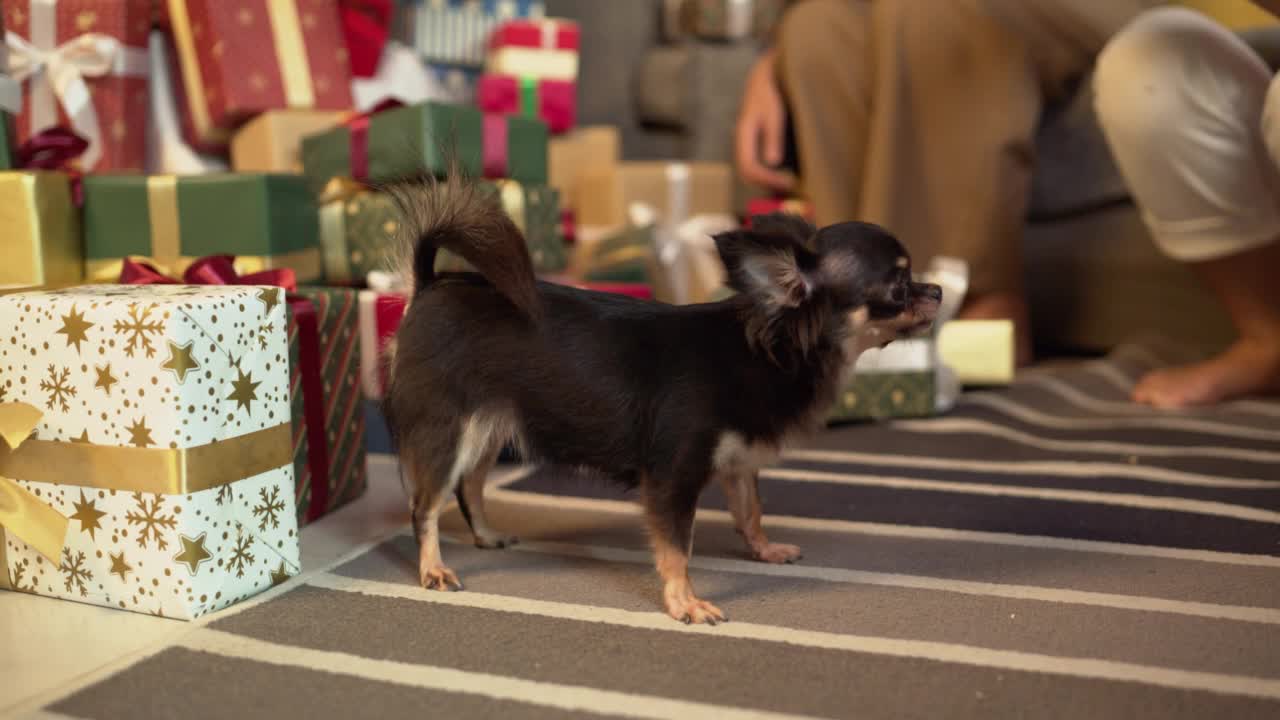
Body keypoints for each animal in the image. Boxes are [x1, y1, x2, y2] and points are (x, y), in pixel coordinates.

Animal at [378, 172, 942, 622]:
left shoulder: (738, 463)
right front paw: (684, 602)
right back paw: (433, 569)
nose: (936, 290)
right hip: (449, 429)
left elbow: (751, 512)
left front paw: (763, 551)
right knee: (425, 504)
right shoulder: (674, 476)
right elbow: (677, 547)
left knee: (469, 485)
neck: (769, 346)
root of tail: (428, 285)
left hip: (490, 429)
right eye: (898, 286)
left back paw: (486, 535)